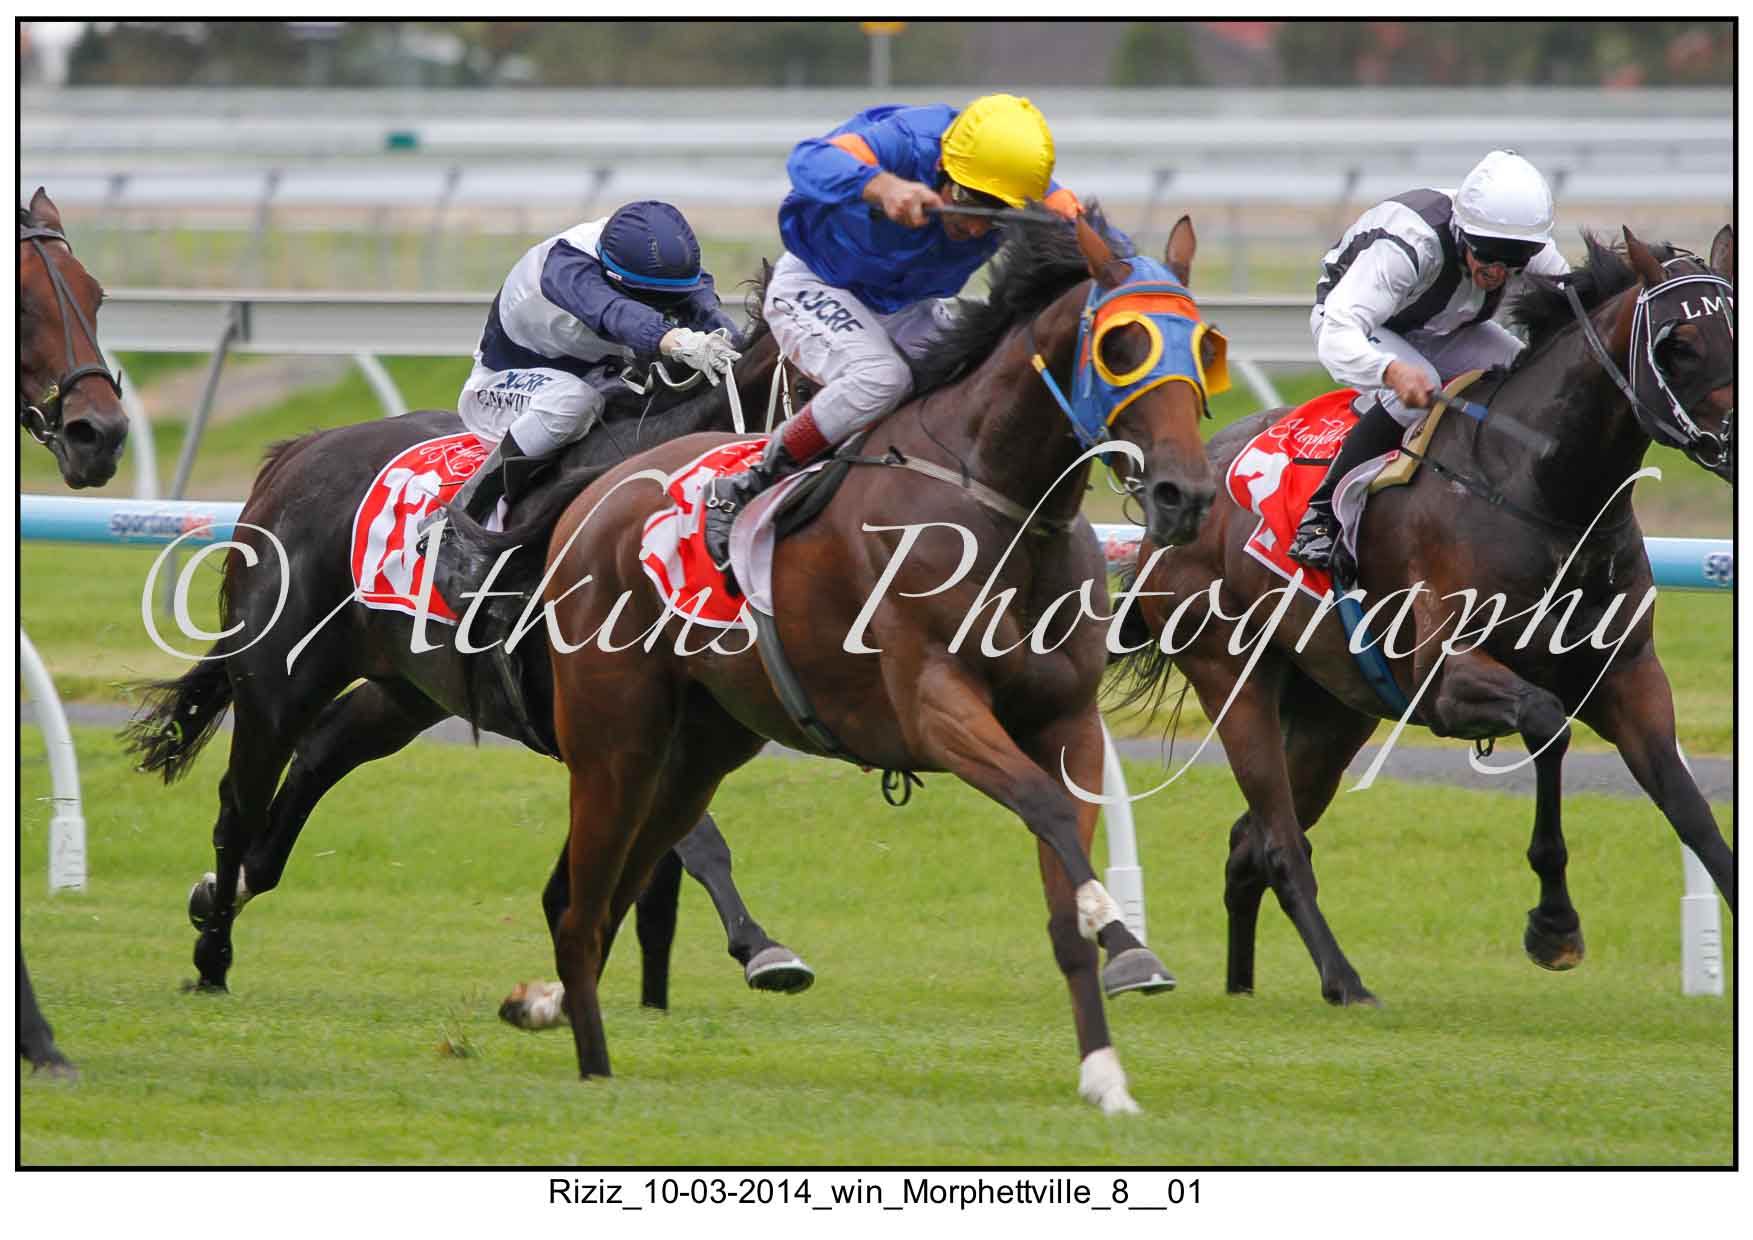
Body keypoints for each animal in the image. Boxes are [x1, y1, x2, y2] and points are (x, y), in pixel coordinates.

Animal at [124, 312, 818, 1009]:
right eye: (810, 383)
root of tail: (299, 451)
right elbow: (688, 837)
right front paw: (760, 949)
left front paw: (759, 949)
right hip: (278, 678)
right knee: (239, 803)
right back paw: (213, 955)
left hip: (406, 691)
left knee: (320, 754)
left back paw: (220, 892)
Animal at [482, 210, 1222, 1113]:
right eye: (1122, 346)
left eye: (1207, 343)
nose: (1185, 495)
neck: (997, 502)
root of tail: (594, 490)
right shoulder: (934, 708)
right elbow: (1045, 812)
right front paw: (1107, 917)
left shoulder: (1066, 722)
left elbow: (1061, 869)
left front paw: (1105, 1070)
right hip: (611, 737)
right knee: (584, 904)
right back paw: (592, 1060)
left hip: (698, 749)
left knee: (621, 879)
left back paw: (549, 1003)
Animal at [1112, 225, 1734, 1005]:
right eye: (1677, 343)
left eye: (1737, 325)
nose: (1736, 440)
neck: (1539, 488)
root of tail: (1173, 500)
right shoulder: (1446, 680)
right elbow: (1548, 726)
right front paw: (1553, 926)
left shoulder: (1628, 674)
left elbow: (1692, 811)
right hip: (1232, 678)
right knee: (1278, 842)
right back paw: (1343, 980)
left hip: (1331, 710)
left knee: (1246, 843)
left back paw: (1243, 986)